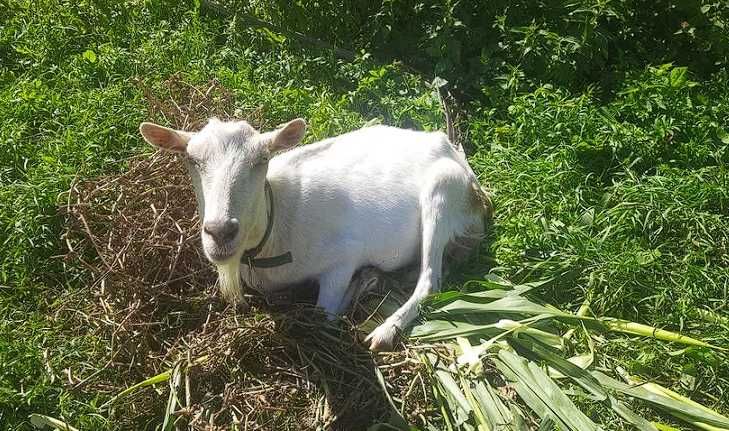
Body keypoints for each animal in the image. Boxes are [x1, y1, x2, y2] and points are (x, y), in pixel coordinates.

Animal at [139, 118, 491, 351]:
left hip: (443, 190)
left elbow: (323, 316)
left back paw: (385, 329)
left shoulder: (344, 256)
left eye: (262, 159)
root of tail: (450, 148)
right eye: (191, 159)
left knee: (431, 277)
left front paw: (363, 284)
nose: (220, 232)